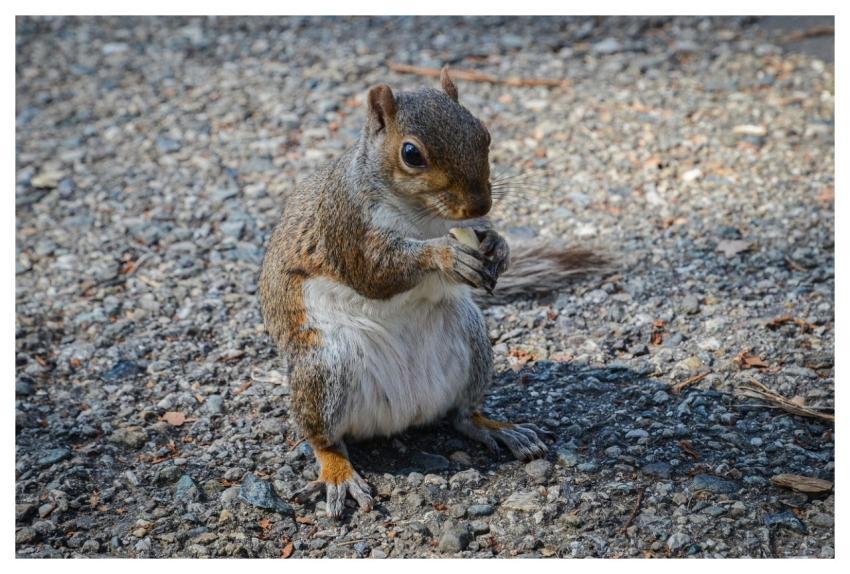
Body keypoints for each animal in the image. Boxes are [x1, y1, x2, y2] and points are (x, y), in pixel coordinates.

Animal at [259, 67, 605, 518]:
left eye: (484, 133)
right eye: (411, 154)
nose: (479, 205)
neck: (423, 215)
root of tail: (404, 415)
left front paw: (499, 245)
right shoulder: (346, 225)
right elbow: (373, 273)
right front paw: (443, 255)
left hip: (473, 341)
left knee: (461, 415)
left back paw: (497, 428)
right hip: (324, 366)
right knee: (324, 439)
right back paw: (338, 473)